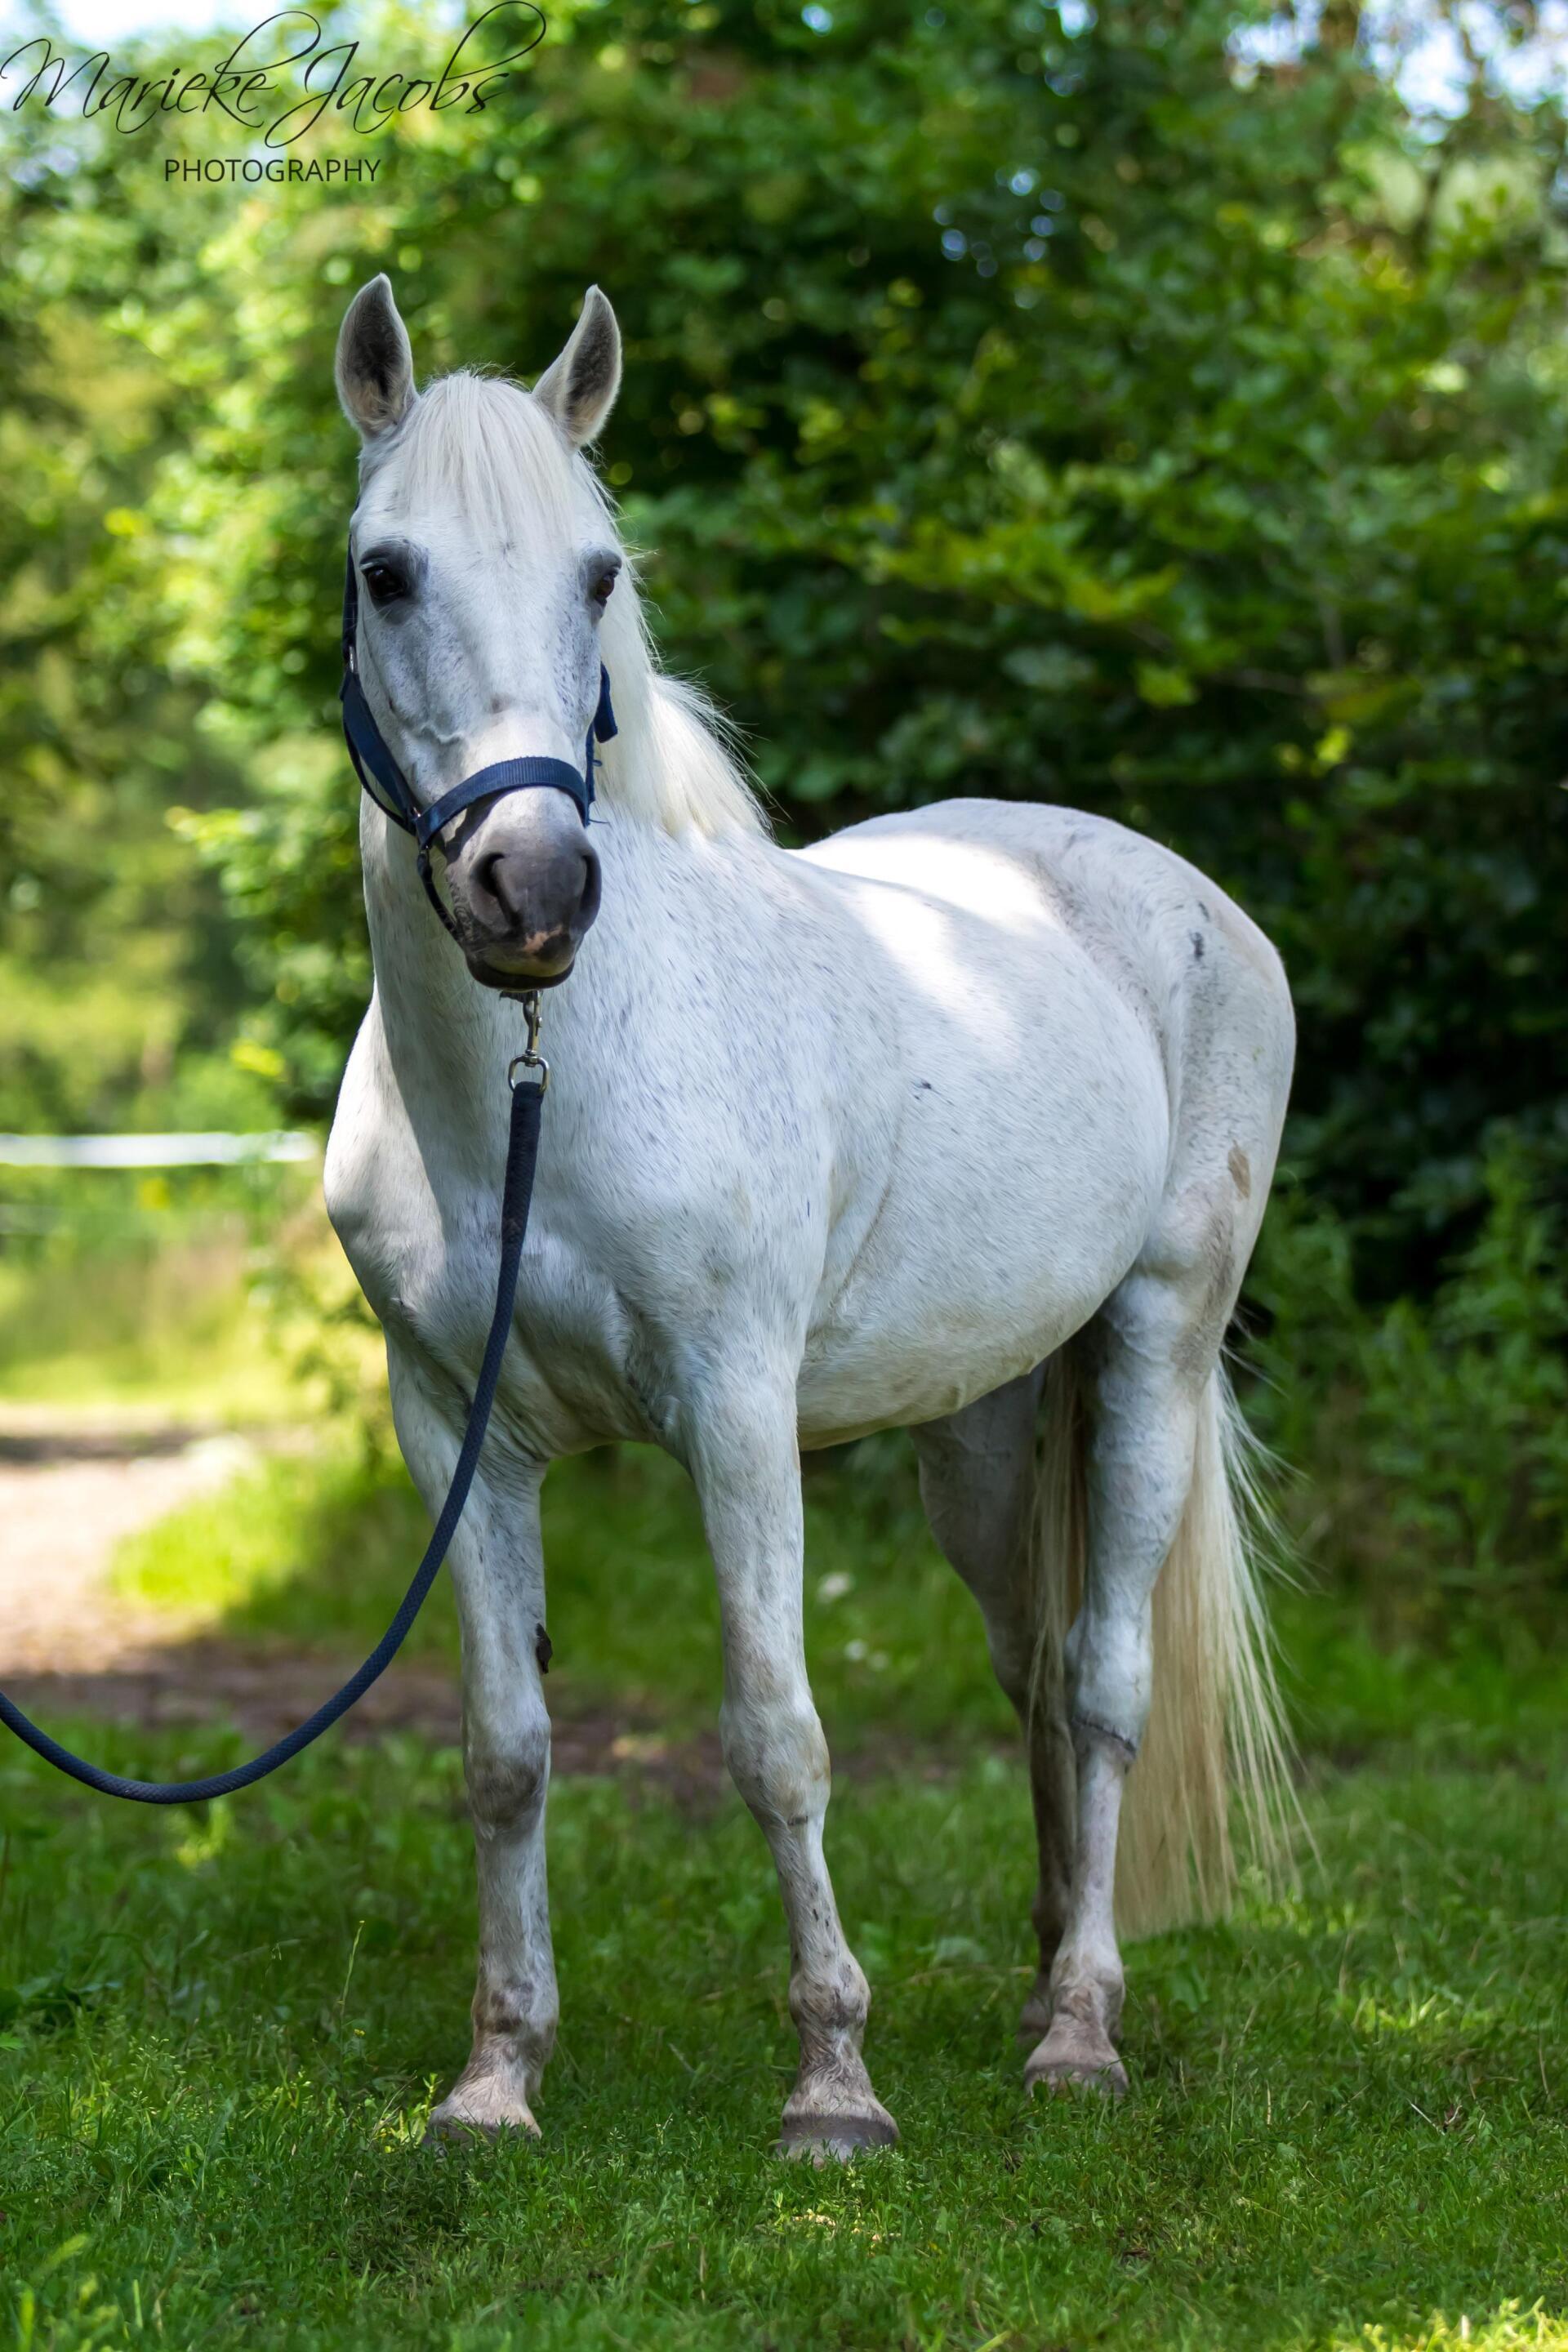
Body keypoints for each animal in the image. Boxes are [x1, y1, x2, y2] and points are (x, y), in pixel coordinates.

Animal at [324, 274, 1296, 2159]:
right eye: (386, 570)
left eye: (600, 574)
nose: (533, 890)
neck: (545, 1093)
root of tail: (1182, 893)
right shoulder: (453, 1428)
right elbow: (504, 1752)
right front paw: (497, 2076)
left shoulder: (736, 1411)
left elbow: (777, 1737)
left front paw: (834, 2087)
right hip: (985, 1434)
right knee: (1035, 1678)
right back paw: (1035, 1995)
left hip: (1155, 1347)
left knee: (1107, 1684)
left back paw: (1081, 2037)